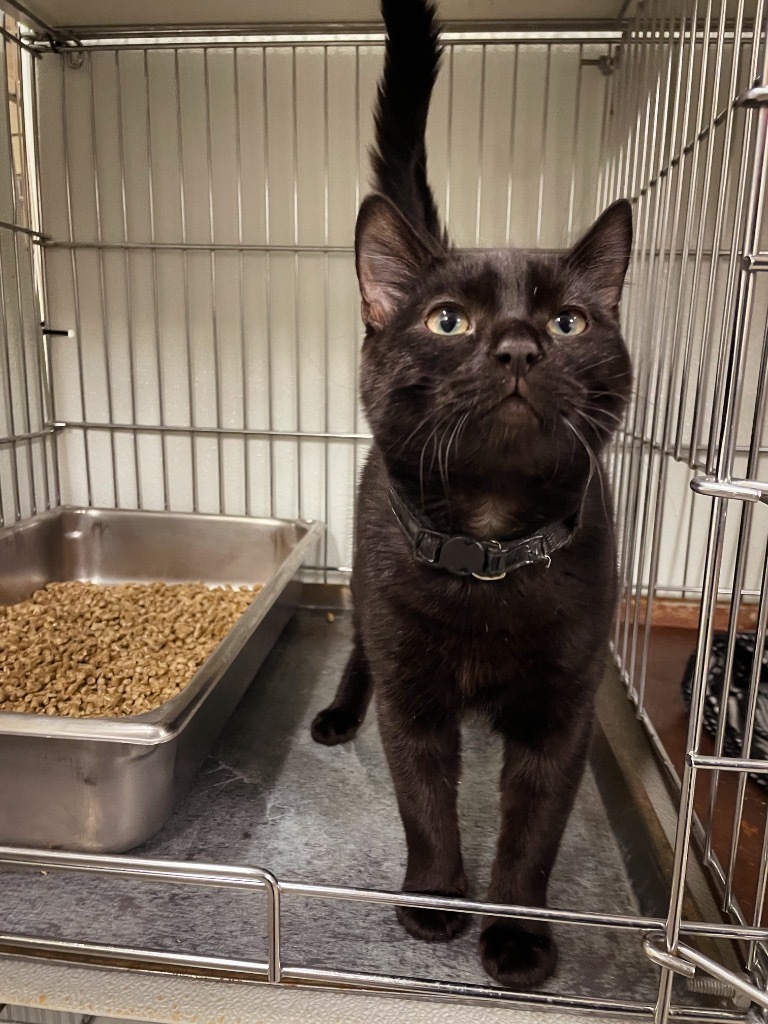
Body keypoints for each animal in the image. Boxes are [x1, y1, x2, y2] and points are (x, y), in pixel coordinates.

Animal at [309, 0, 634, 991]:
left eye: (569, 321)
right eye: (448, 320)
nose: (520, 345)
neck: (491, 541)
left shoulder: (566, 705)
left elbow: (534, 832)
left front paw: (518, 937)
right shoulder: (414, 692)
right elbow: (424, 800)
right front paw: (434, 901)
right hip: (369, 586)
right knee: (360, 655)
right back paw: (339, 712)